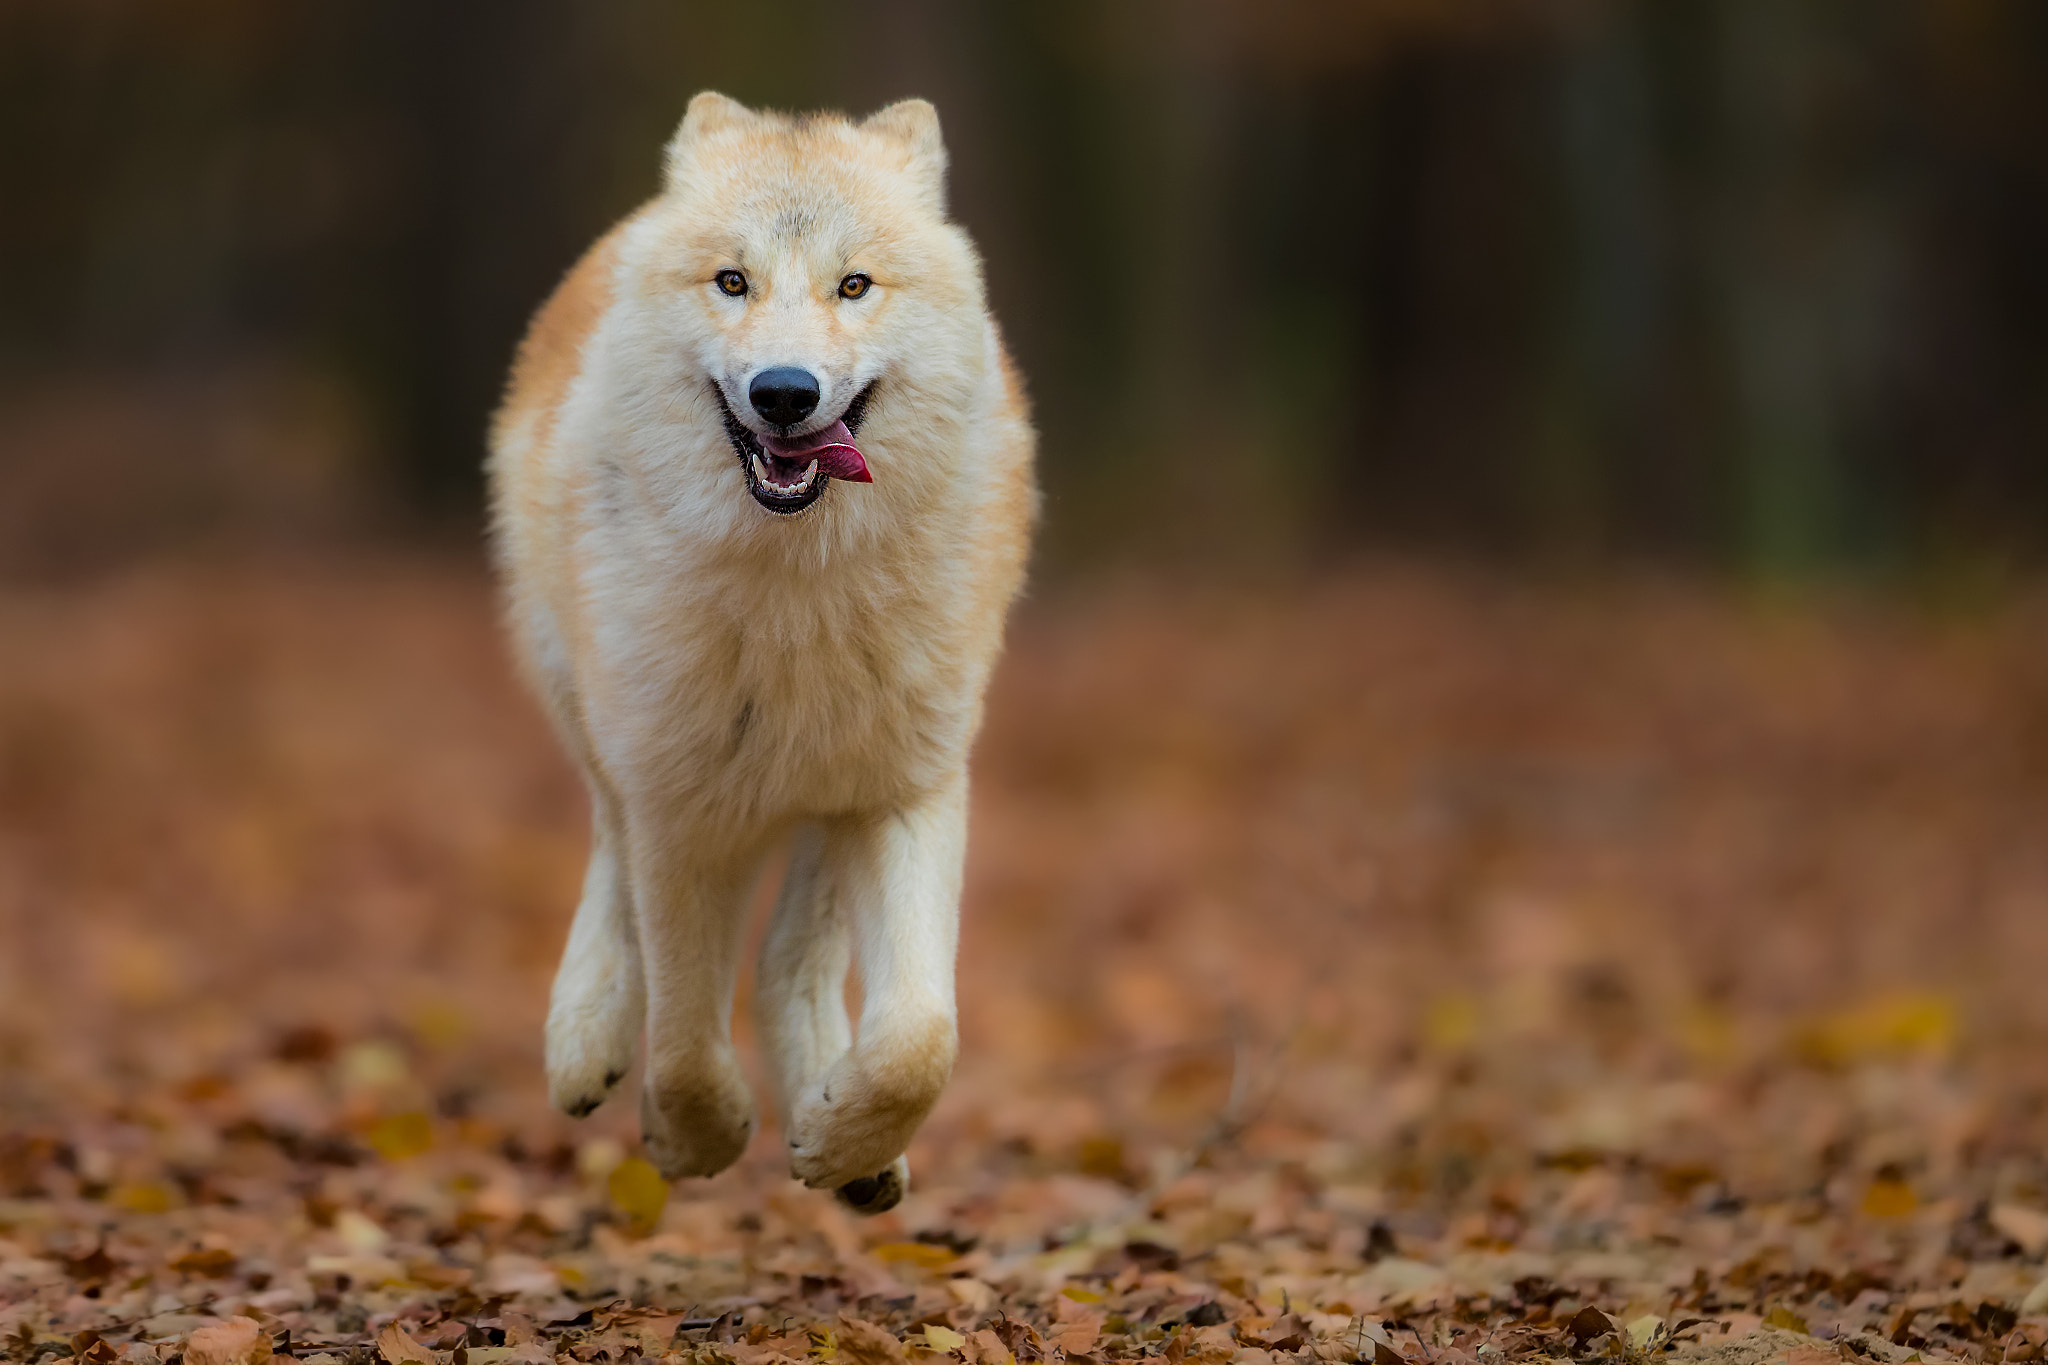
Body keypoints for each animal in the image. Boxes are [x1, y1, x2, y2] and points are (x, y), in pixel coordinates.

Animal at [487, 92, 1036, 1213]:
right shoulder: (678, 812)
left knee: (793, 958)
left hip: (829, 801)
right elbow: (687, 1040)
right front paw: (693, 1140)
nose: (785, 392)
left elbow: (919, 1039)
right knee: (611, 860)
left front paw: (836, 1137)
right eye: (731, 281)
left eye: (853, 284)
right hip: (592, 720)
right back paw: (585, 1038)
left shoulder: (907, 792)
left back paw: (843, 1134)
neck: (797, 597)